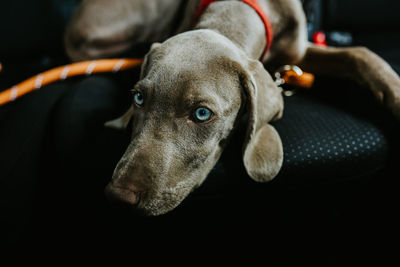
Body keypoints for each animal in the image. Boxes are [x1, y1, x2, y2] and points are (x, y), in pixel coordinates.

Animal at [65, 0, 400, 217]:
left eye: (201, 114)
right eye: (138, 99)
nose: (117, 196)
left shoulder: (298, 52)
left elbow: (359, 53)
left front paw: (395, 92)